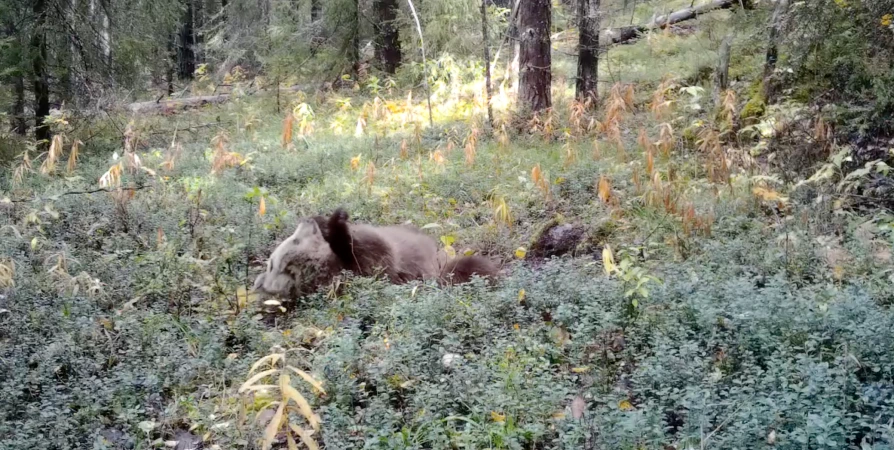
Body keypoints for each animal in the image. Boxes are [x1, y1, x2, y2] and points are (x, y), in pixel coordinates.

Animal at [252, 208, 500, 300]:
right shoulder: (363, 270)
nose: (307, 220)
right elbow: (376, 255)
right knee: (471, 267)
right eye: (294, 240)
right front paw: (336, 223)